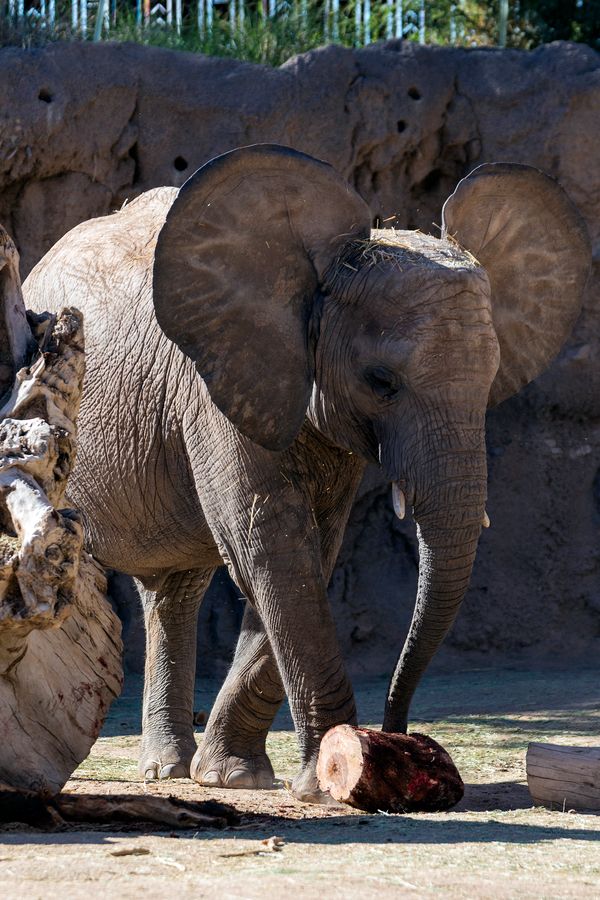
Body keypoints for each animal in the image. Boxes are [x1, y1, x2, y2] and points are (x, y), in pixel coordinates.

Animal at [21, 142, 588, 800]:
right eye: (380, 382)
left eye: (493, 373)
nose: (401, 735)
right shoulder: (218, 384)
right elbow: (272, 542)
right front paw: (324, 781)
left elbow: (312, 549)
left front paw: (236, 777)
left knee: (173, 587)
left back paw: (171, 769)